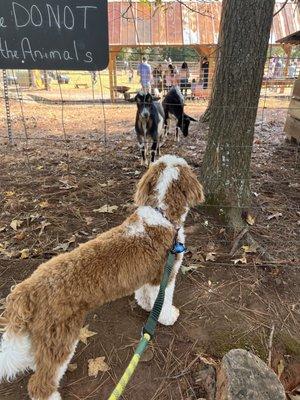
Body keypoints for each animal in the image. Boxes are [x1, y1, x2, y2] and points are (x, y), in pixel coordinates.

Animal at [0, 154, 204, 400]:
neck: (161, 214)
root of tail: (27, 289)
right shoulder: (165, 274)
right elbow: (163, 300)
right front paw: (168, 316)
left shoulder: (147, 276)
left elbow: (146, 295)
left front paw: (147, 307)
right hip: (61, 336)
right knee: (41, 383)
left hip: (44, 334)